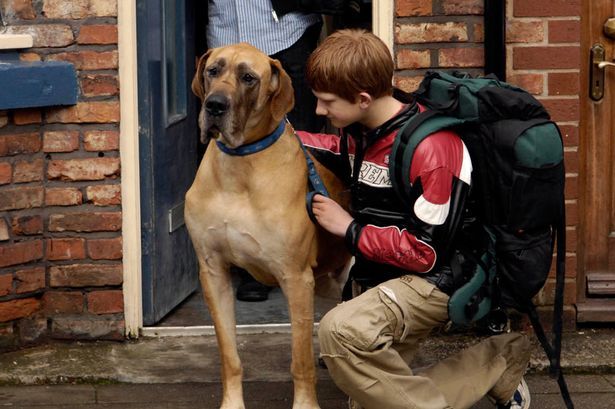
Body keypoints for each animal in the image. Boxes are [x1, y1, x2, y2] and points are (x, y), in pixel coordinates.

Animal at [185, 43, 351, 409]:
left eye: (249, 78)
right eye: (213, 71)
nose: (214, 105)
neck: (239, 166)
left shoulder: (295, 277)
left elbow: (300, 360)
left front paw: (305, 406)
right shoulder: (213, 272)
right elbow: (229, 355)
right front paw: (232, 404)